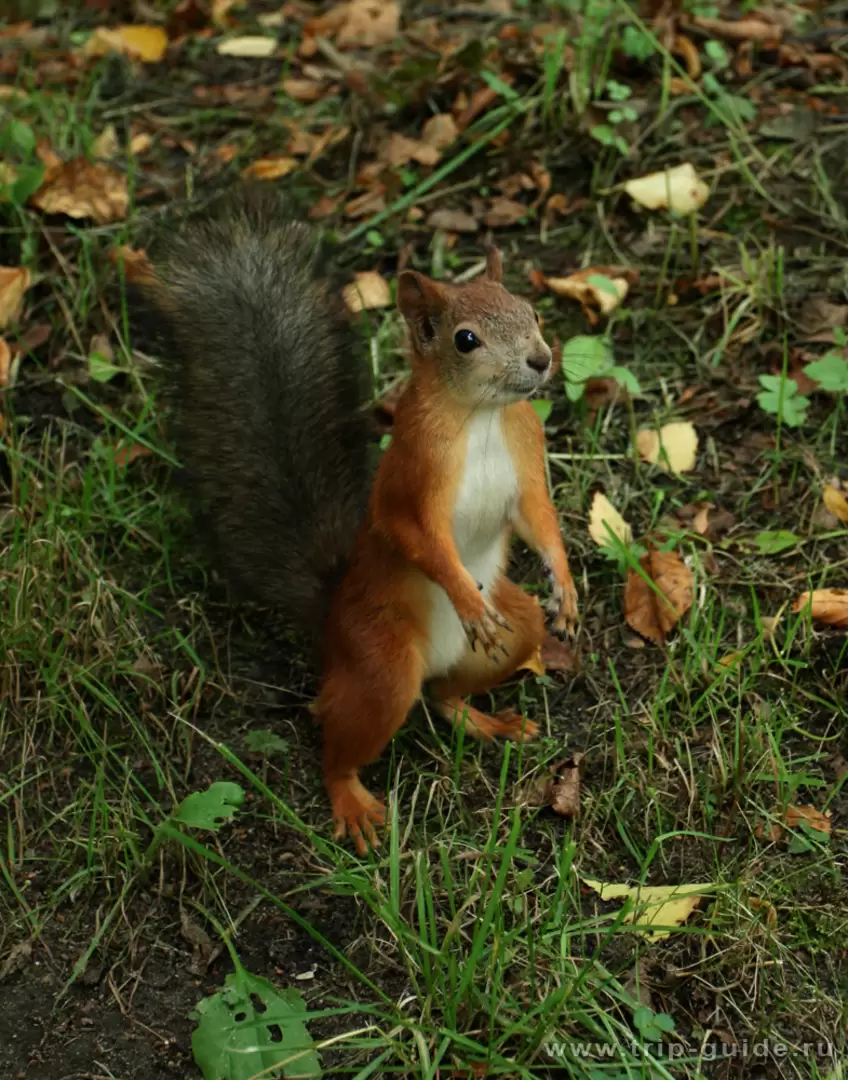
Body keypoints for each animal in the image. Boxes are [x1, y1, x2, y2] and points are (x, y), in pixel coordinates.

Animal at [142, 186, 579, 855]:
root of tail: (332, 617)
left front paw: (566, 587)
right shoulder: (412, 479)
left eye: (529, 310)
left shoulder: (525, 454)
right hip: (381, 667)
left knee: (445, 693)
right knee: (341, 739)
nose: (539, 360)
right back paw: (351, 800)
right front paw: (465, 597)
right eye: (466, 339)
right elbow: (416, 537)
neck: (481, 417)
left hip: (515, 632)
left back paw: (486, 720)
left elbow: (539, 521)